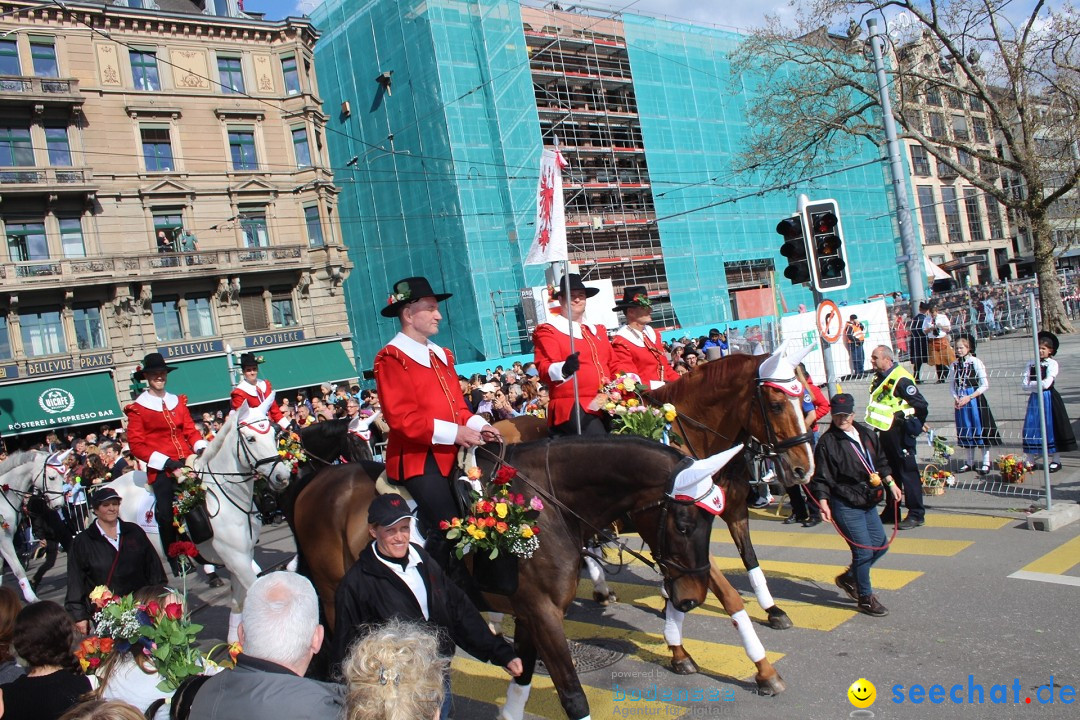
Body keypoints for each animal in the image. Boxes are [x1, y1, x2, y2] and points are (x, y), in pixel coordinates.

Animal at [48, 399, 289, 643]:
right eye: (251, 439)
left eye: (274, 434)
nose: (282, 476)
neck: (223, 498)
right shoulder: (236, 558)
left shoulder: (241, 556)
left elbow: (238, 600)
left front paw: (234, 644)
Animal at [293, 433, 725, 720]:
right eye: (684, 524)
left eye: (711, 523)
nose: (691, 597)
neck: (549, 506)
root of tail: (316, 483)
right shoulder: (544, 612)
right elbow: (573, 696)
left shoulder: (530, 613)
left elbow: (524, 676)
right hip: (334, 594)